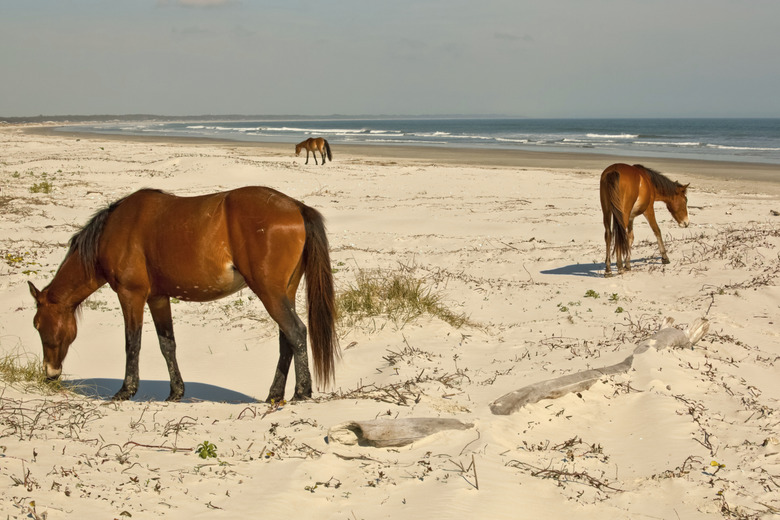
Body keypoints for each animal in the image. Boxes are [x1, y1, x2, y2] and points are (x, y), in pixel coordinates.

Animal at [28, 187, 338, 402]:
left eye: (38, 326)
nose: (50, 373)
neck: (114, 230)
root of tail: (296, 206)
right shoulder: (157, 298)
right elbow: (168, 345)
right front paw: (175, 392)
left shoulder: (131, 295)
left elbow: (132, 343)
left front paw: (126, 390)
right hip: (284, 292)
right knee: (287, 340)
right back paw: (274, 395)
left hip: (269, 292)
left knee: (296, 332)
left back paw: (301, 392)